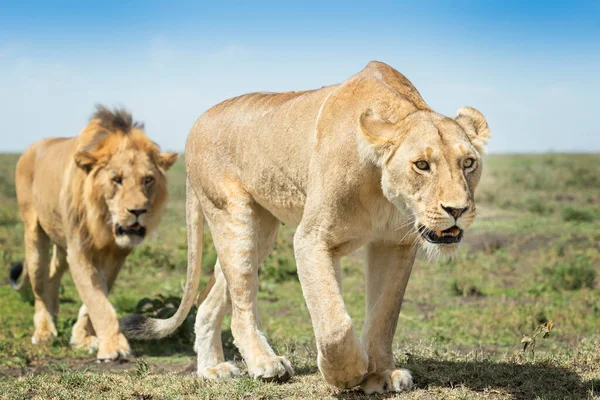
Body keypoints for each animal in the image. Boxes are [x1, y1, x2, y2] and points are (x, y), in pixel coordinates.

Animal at [10, 105, 177, 360]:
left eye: (148, 180)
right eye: (116, 180)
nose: (138, 211)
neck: (105, 224)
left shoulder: (117, 254)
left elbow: (97, 296)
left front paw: (82, 337)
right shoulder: (79, 249)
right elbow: (97, 298)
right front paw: (113, 347)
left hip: (62, 245)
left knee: (53, 275)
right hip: (34, 233)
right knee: (39, 284)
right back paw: (44, 330)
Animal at [123, 62, 492, 394]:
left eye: (468, 163)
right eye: (422, 165)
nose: (457, 210)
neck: (382, 190)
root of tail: (196, 123)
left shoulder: (395, 244)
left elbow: (384, 315)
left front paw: (381, 375)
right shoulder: (312, 239)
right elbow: (334, 322)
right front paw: (346, 374)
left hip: (262, 232)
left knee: (210, 295)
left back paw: (212, 369)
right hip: (234, 218)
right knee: (241, 303)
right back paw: (265, 364)